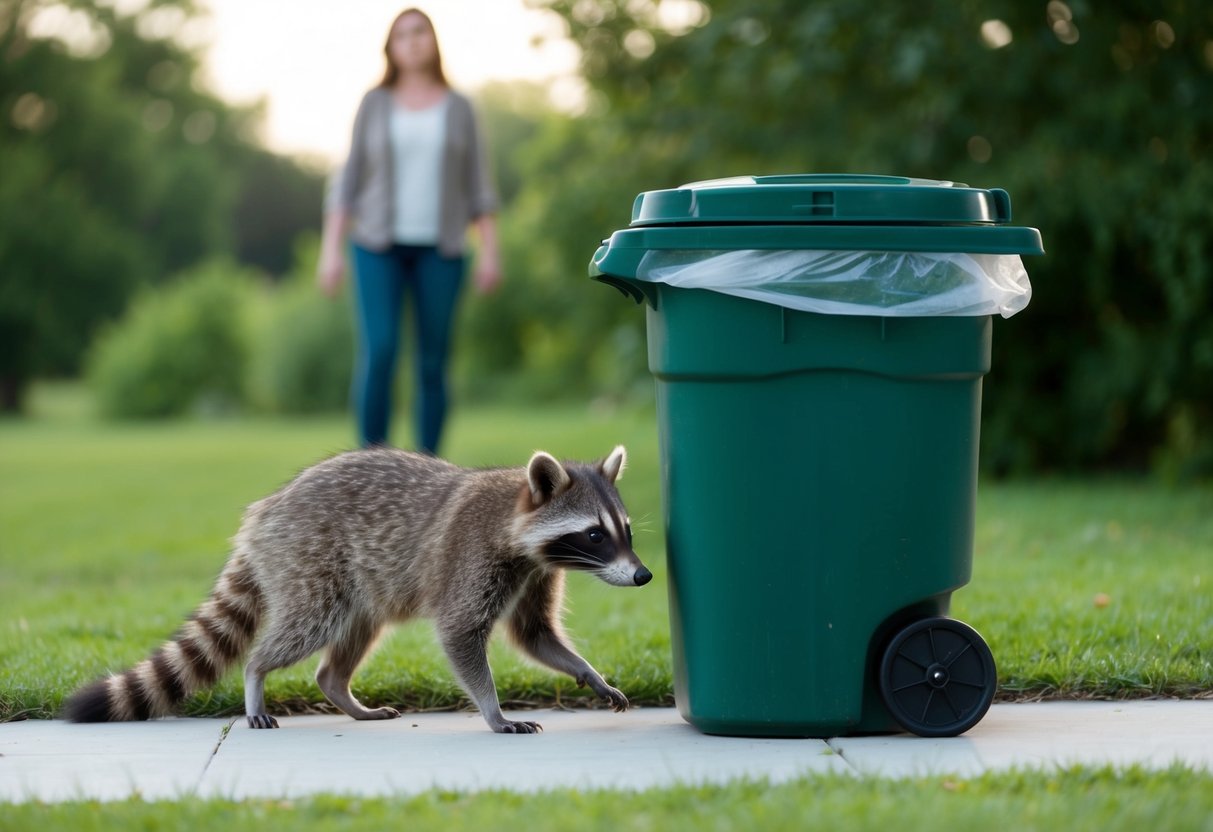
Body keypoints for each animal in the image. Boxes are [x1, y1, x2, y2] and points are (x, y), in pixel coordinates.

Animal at [64, 446, 650, 734]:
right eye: (594, 534)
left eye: (626, 530)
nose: (644, 576)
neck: (518, 517)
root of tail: (264, 514)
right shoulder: (472, 559)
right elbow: (461, 634)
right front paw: (493, 711)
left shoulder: (535, 573)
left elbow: (535, 635)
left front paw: (588, 673)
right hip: (309, 562)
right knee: (302, 628)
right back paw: (257, 673)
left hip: (361, 589)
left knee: (347, 643)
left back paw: (341, 691)